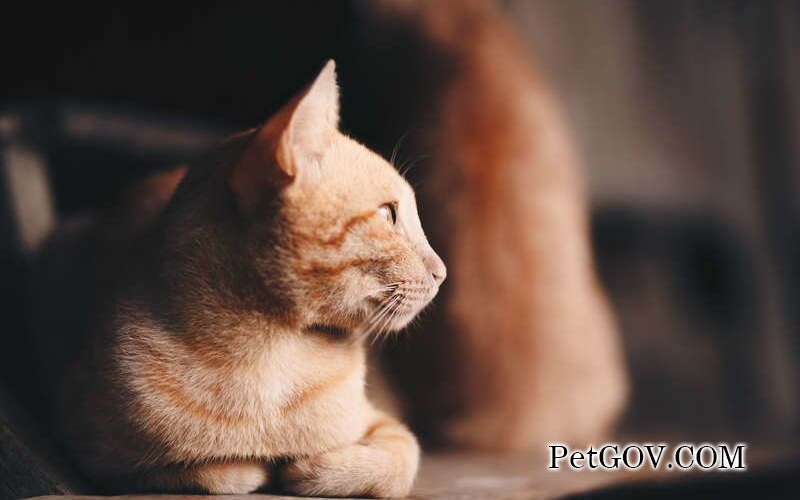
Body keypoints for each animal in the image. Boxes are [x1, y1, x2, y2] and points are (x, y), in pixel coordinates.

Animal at [49, 60, 440, 494]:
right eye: (389, 214)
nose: (442, 271)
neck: (272, 354)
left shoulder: (384, 423)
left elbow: (400, 456)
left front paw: (313, 467)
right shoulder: (88, 448)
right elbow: (215, 473)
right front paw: (255, 465)